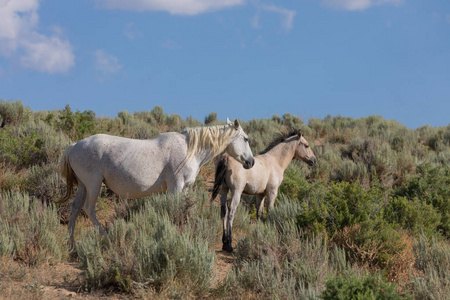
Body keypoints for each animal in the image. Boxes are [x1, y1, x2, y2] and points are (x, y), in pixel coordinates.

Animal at [60, 118, 255, 243]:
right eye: (246, 139)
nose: (251, 162)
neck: (189, 149)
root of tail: (73, 146)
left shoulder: (184, 188)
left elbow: (183, 210)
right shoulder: (175, 187)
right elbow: (173, 210)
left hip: (83, 186)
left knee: (75, 208)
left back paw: (71, 244)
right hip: (93, 185)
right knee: (88, 209)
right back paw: (105, 237)